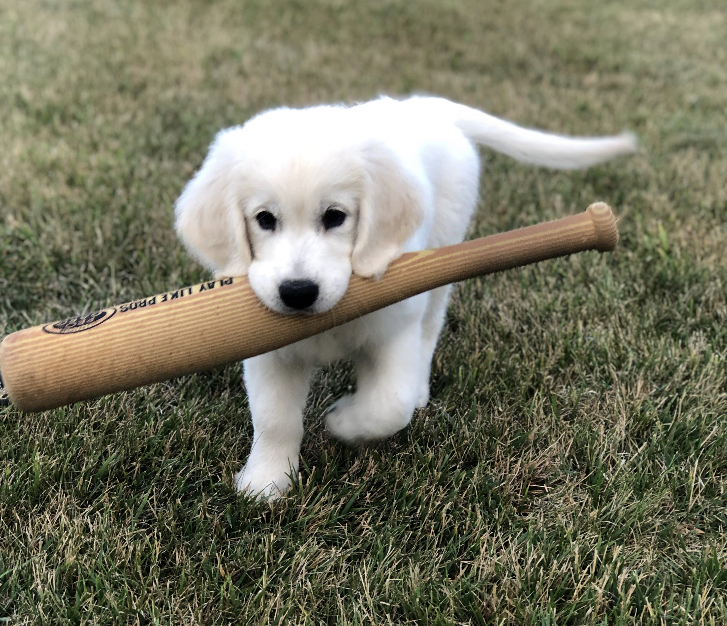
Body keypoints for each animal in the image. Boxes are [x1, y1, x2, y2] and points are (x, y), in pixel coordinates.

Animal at [173, 96, 636, 498]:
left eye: (335, 217)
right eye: (264, 219)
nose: (298, 293)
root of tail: (427, 105)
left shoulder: (395, 329)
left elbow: (388, 406)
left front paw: (344, 422)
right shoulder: (270, 351)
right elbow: (274, 419)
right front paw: (266, 483)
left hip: (440, 258)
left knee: (428, 334)